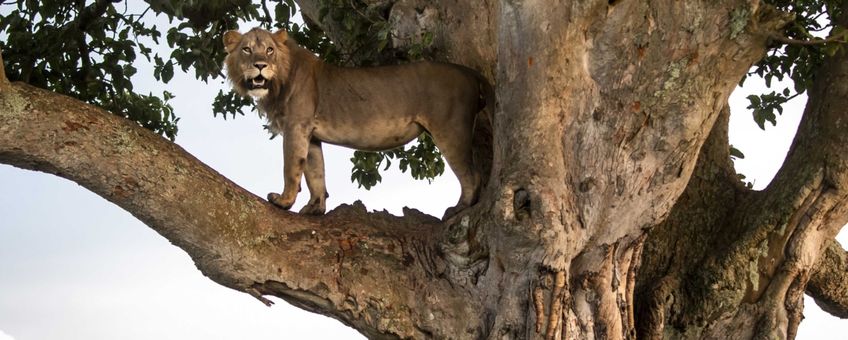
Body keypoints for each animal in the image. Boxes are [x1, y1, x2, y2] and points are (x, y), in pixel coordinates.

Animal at [222, 26, 494, 218]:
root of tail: (468, 71)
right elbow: (315, 172)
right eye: (246, 49)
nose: (260, 66)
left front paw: (283, 201)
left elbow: (291, 168)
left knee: (472, 175)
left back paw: (459, 208)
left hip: (450, 129)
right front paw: (315, 208)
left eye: (269, 50)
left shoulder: (295, 127)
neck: (277, 82)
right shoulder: (310, 134)